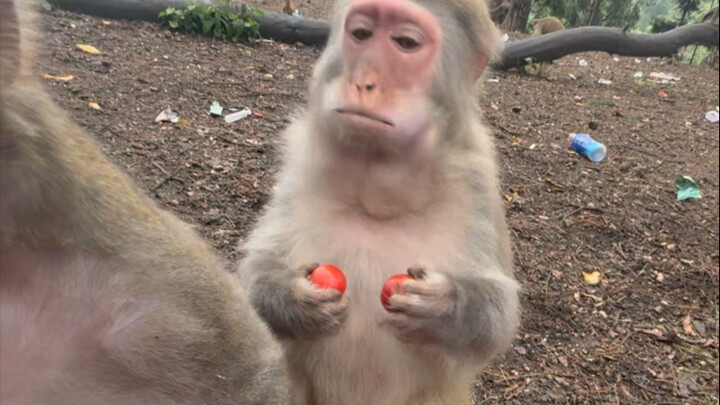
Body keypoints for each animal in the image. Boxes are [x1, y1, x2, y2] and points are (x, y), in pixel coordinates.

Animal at [236, 0, 520, 404]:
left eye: (405, 42)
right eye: (362, 34)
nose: (363, 82)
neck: (375, 203)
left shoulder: (479, 184)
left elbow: (500, 315)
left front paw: (443, 307)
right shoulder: (299, 163)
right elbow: (258, 266)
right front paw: (291, 300)